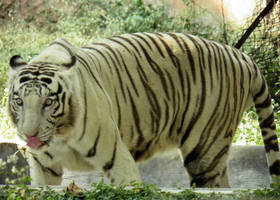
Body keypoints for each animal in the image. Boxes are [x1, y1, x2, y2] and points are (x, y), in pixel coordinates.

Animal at [7, 32, 278, 188]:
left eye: (48, 102)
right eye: (19, 101)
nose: (29, 135)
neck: (61, 136)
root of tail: (241, 55)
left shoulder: (116, 158)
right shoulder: (44, 169)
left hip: (206, 151)